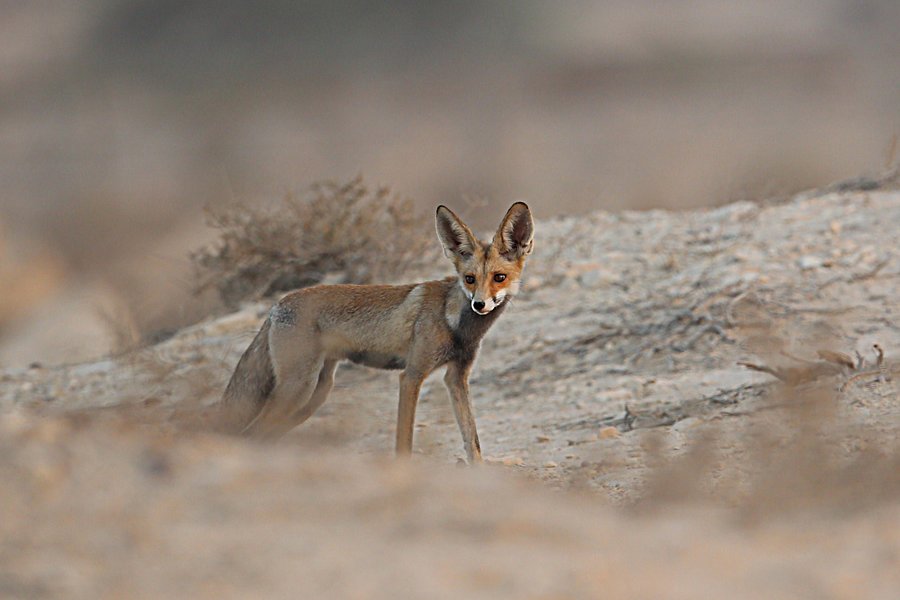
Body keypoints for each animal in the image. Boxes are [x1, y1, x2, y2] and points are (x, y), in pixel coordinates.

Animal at [221, 203, 536, 464]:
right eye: (469, 279)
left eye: (499, 278)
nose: (479, 304)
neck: (456, 325)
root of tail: (277, 305)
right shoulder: (411, 375)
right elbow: (404, 441)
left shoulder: (456, 377)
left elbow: (472, 441)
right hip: (298, 389)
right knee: (250, 434)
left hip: (314, 394)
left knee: (263, 436)